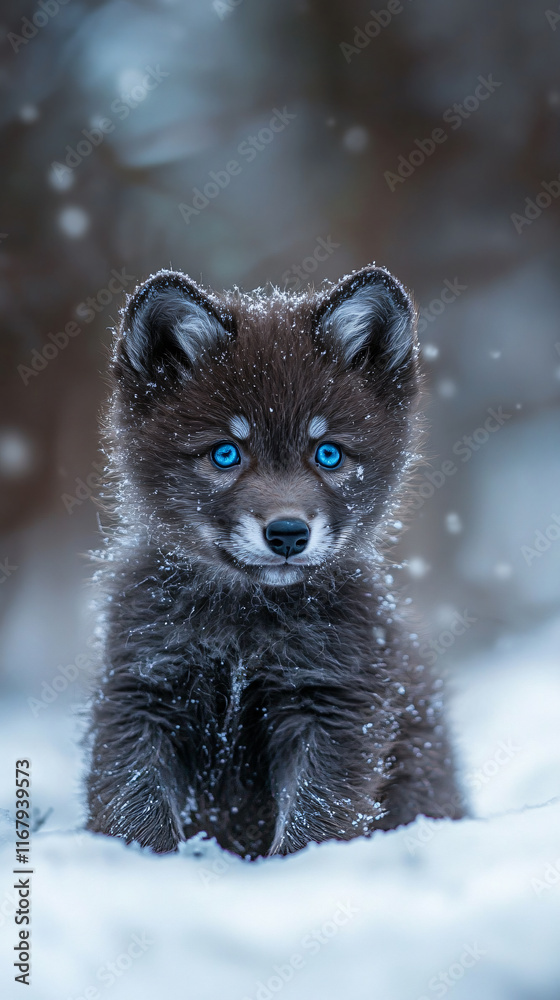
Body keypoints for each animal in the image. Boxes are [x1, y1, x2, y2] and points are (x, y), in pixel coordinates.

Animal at [86, 264, 464, 857]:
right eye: (225, 453)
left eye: (328, 453)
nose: (288, 533)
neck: (244, 632)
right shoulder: (142, 687)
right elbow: (135, 803)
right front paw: (147, 865)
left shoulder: (333, 701)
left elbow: (317, 815)